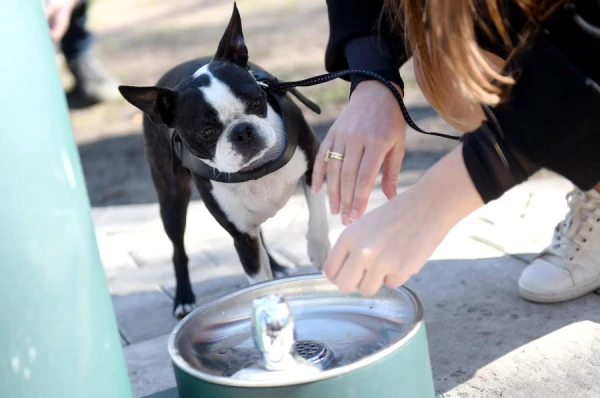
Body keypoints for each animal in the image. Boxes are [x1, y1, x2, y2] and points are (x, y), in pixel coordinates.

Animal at [119, 2, 330, 318]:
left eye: (257, 101)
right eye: (206, 131)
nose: (242, 131)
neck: (257, 170)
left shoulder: (313, 158)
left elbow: (318, 213)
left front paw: (318, 250)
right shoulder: (239, 235)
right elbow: (258, 280)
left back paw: (277, 264)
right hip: (171, 199)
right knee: (178, 248)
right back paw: (183, 298)